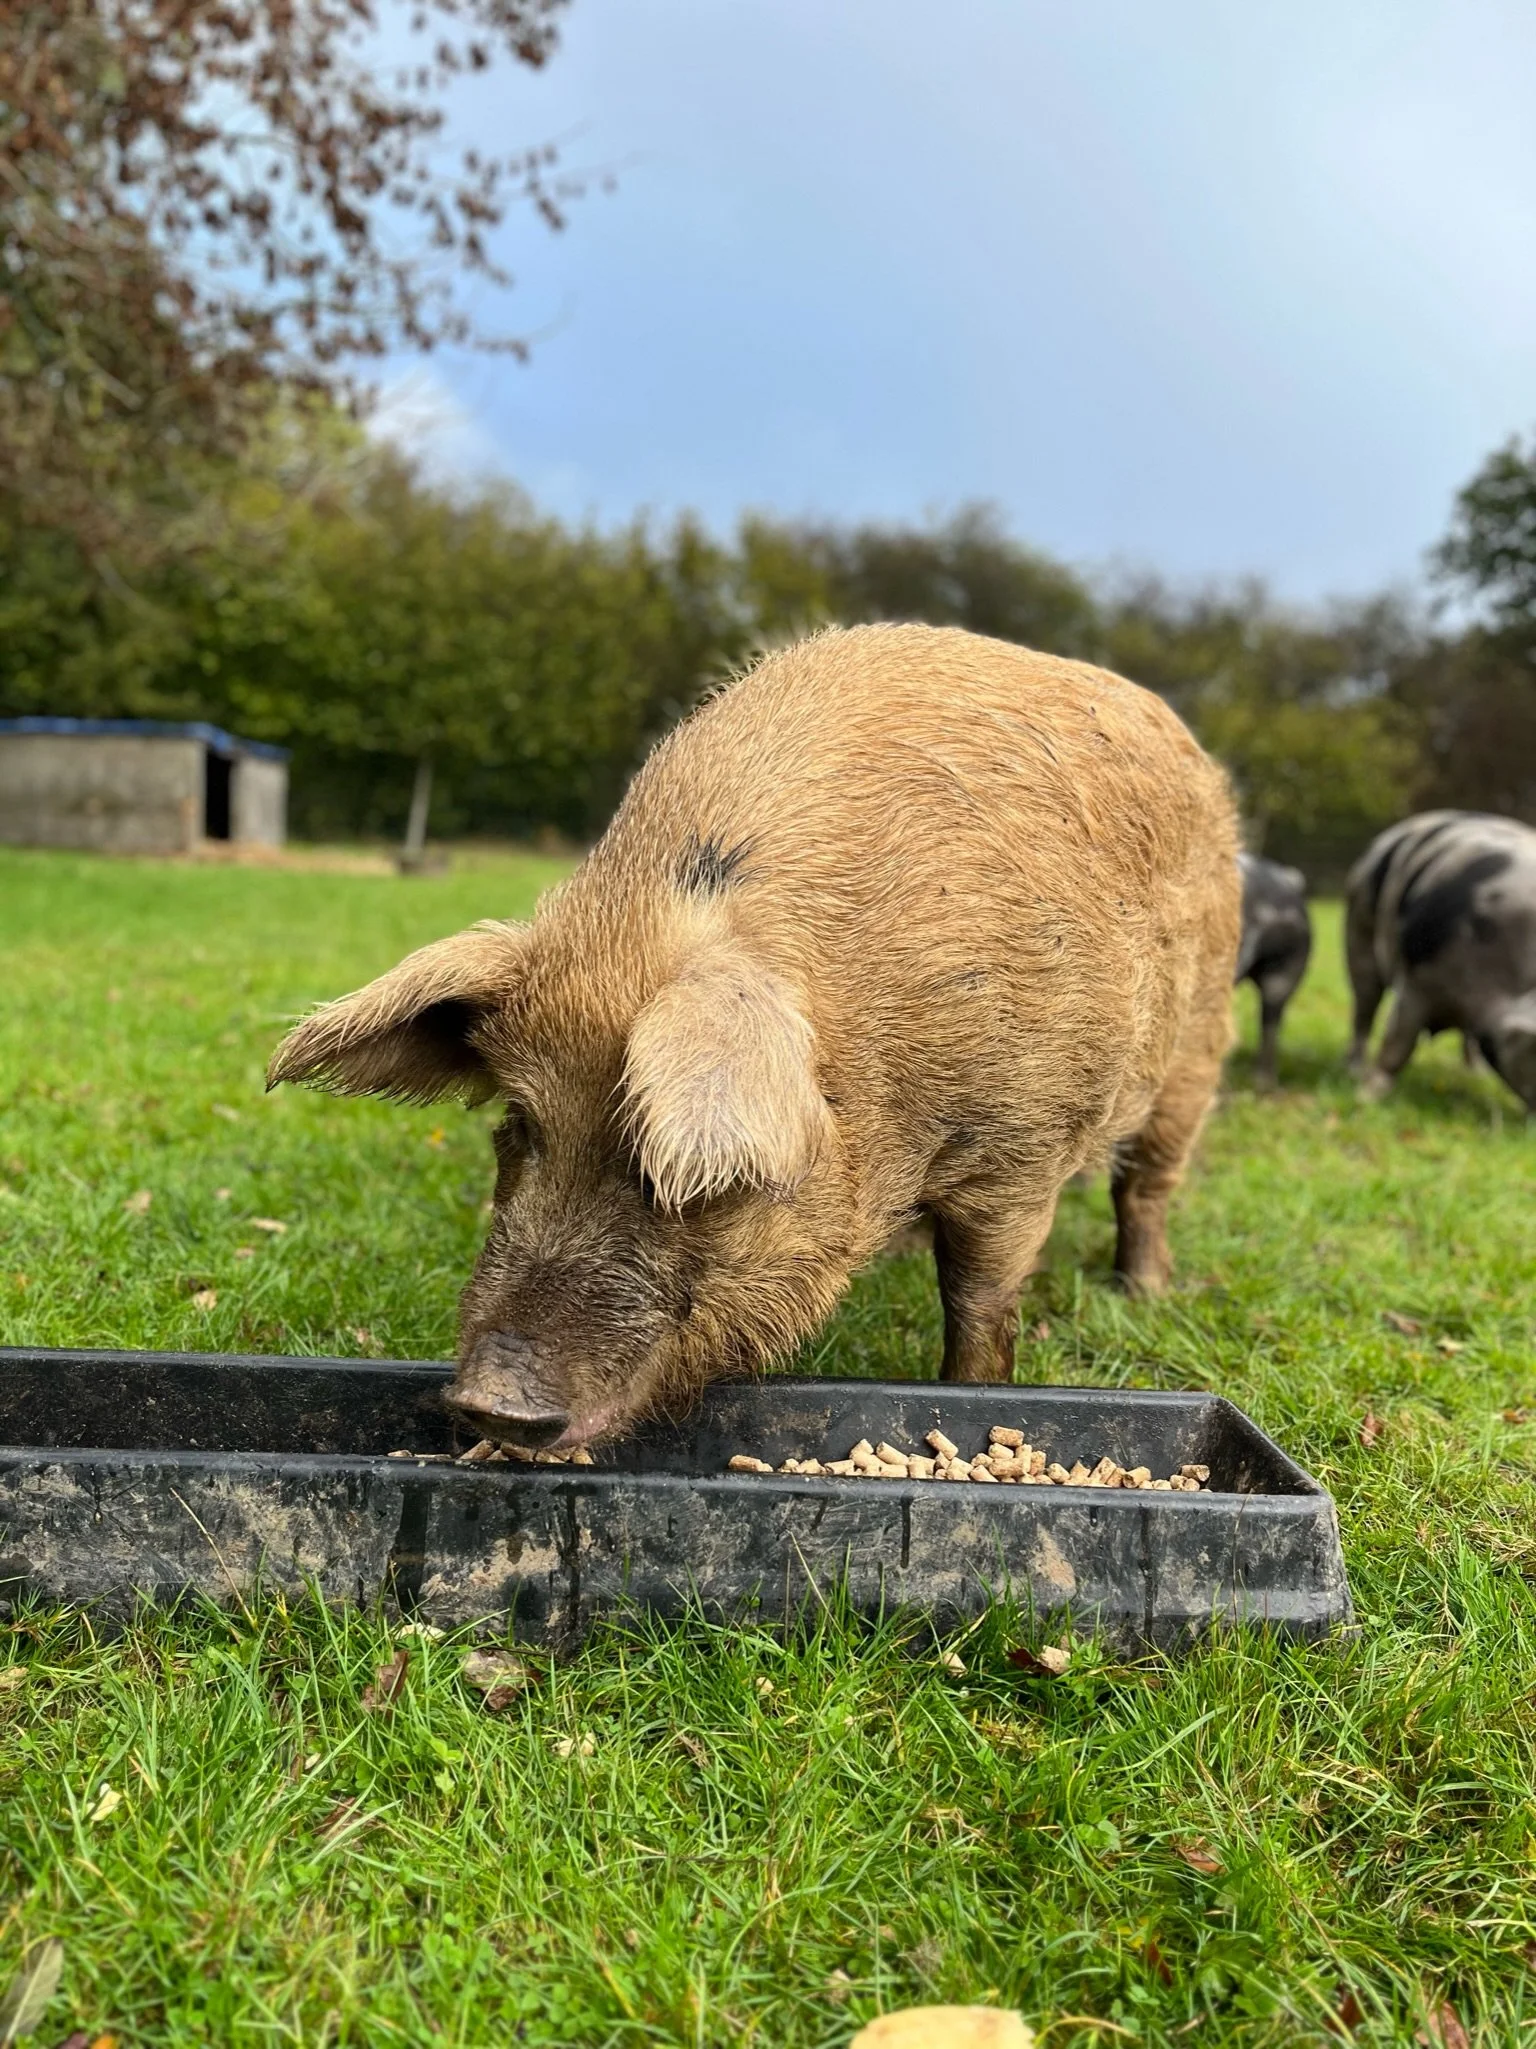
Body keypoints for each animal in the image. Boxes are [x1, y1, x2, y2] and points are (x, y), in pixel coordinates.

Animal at [269, 624, 1242, 1451]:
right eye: (521, 1122)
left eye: (678, 1172)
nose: (490, 1402)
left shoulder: (1022, 1145)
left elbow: (981, 1298)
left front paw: (980, 1397)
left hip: (1199, 1042)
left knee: (1147, 1181)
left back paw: (1144, 1291)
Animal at [1345, 809, 1536, 1107]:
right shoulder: (1413, 979)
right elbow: (1397, 1042)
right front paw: (1367, 1098)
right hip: (1358, 930)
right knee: (1364, 1010)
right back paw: (1352, 1071)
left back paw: (1476, 1075)